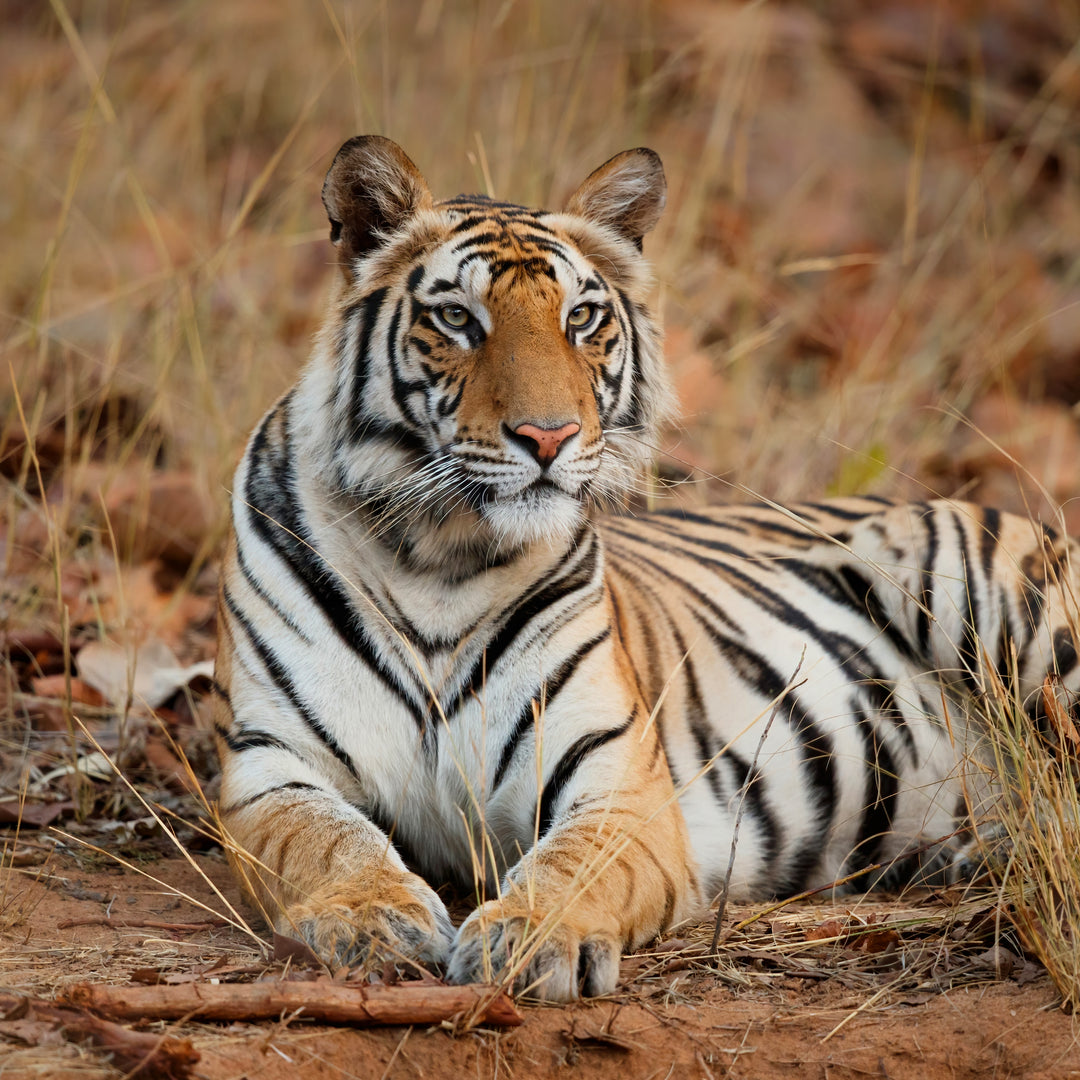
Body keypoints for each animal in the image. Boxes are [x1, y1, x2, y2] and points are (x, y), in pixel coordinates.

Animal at [214, 134, 1080, 1003]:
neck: (441, 555)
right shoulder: (271, 759)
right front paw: (368, 918)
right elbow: (324, 839)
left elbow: (570, 866)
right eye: (457, 318)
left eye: (581, 318)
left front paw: (531, 937)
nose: (549, 437)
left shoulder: (618, 778)